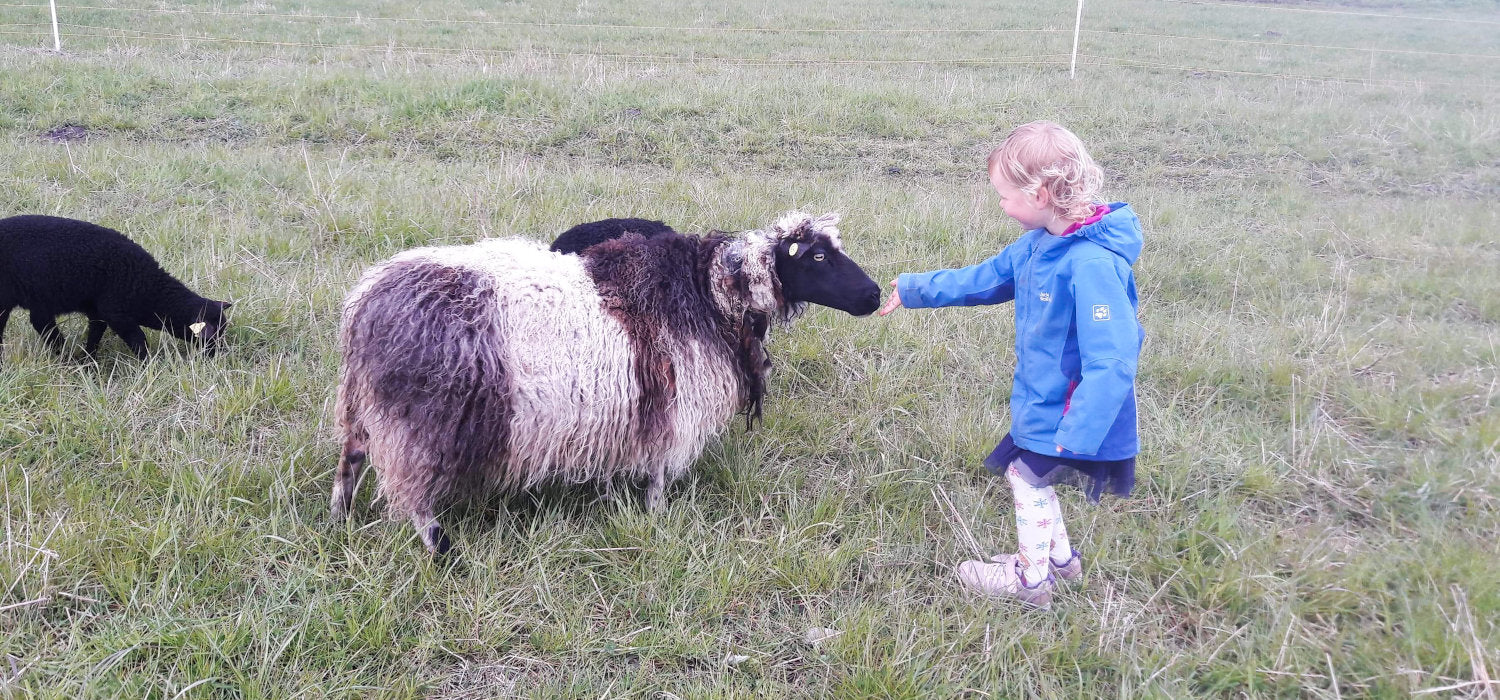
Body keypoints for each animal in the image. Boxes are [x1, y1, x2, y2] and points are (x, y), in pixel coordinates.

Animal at [0, 215, 232, 361]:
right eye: (213, 336)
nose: (219, 355)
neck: (148, 290)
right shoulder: (117, 314)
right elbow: (139, 341)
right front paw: (149, 366)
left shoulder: (98, 313)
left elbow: (95, 335)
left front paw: (89, 360)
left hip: (41, 296)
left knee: (41, 323)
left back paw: (64, 353)